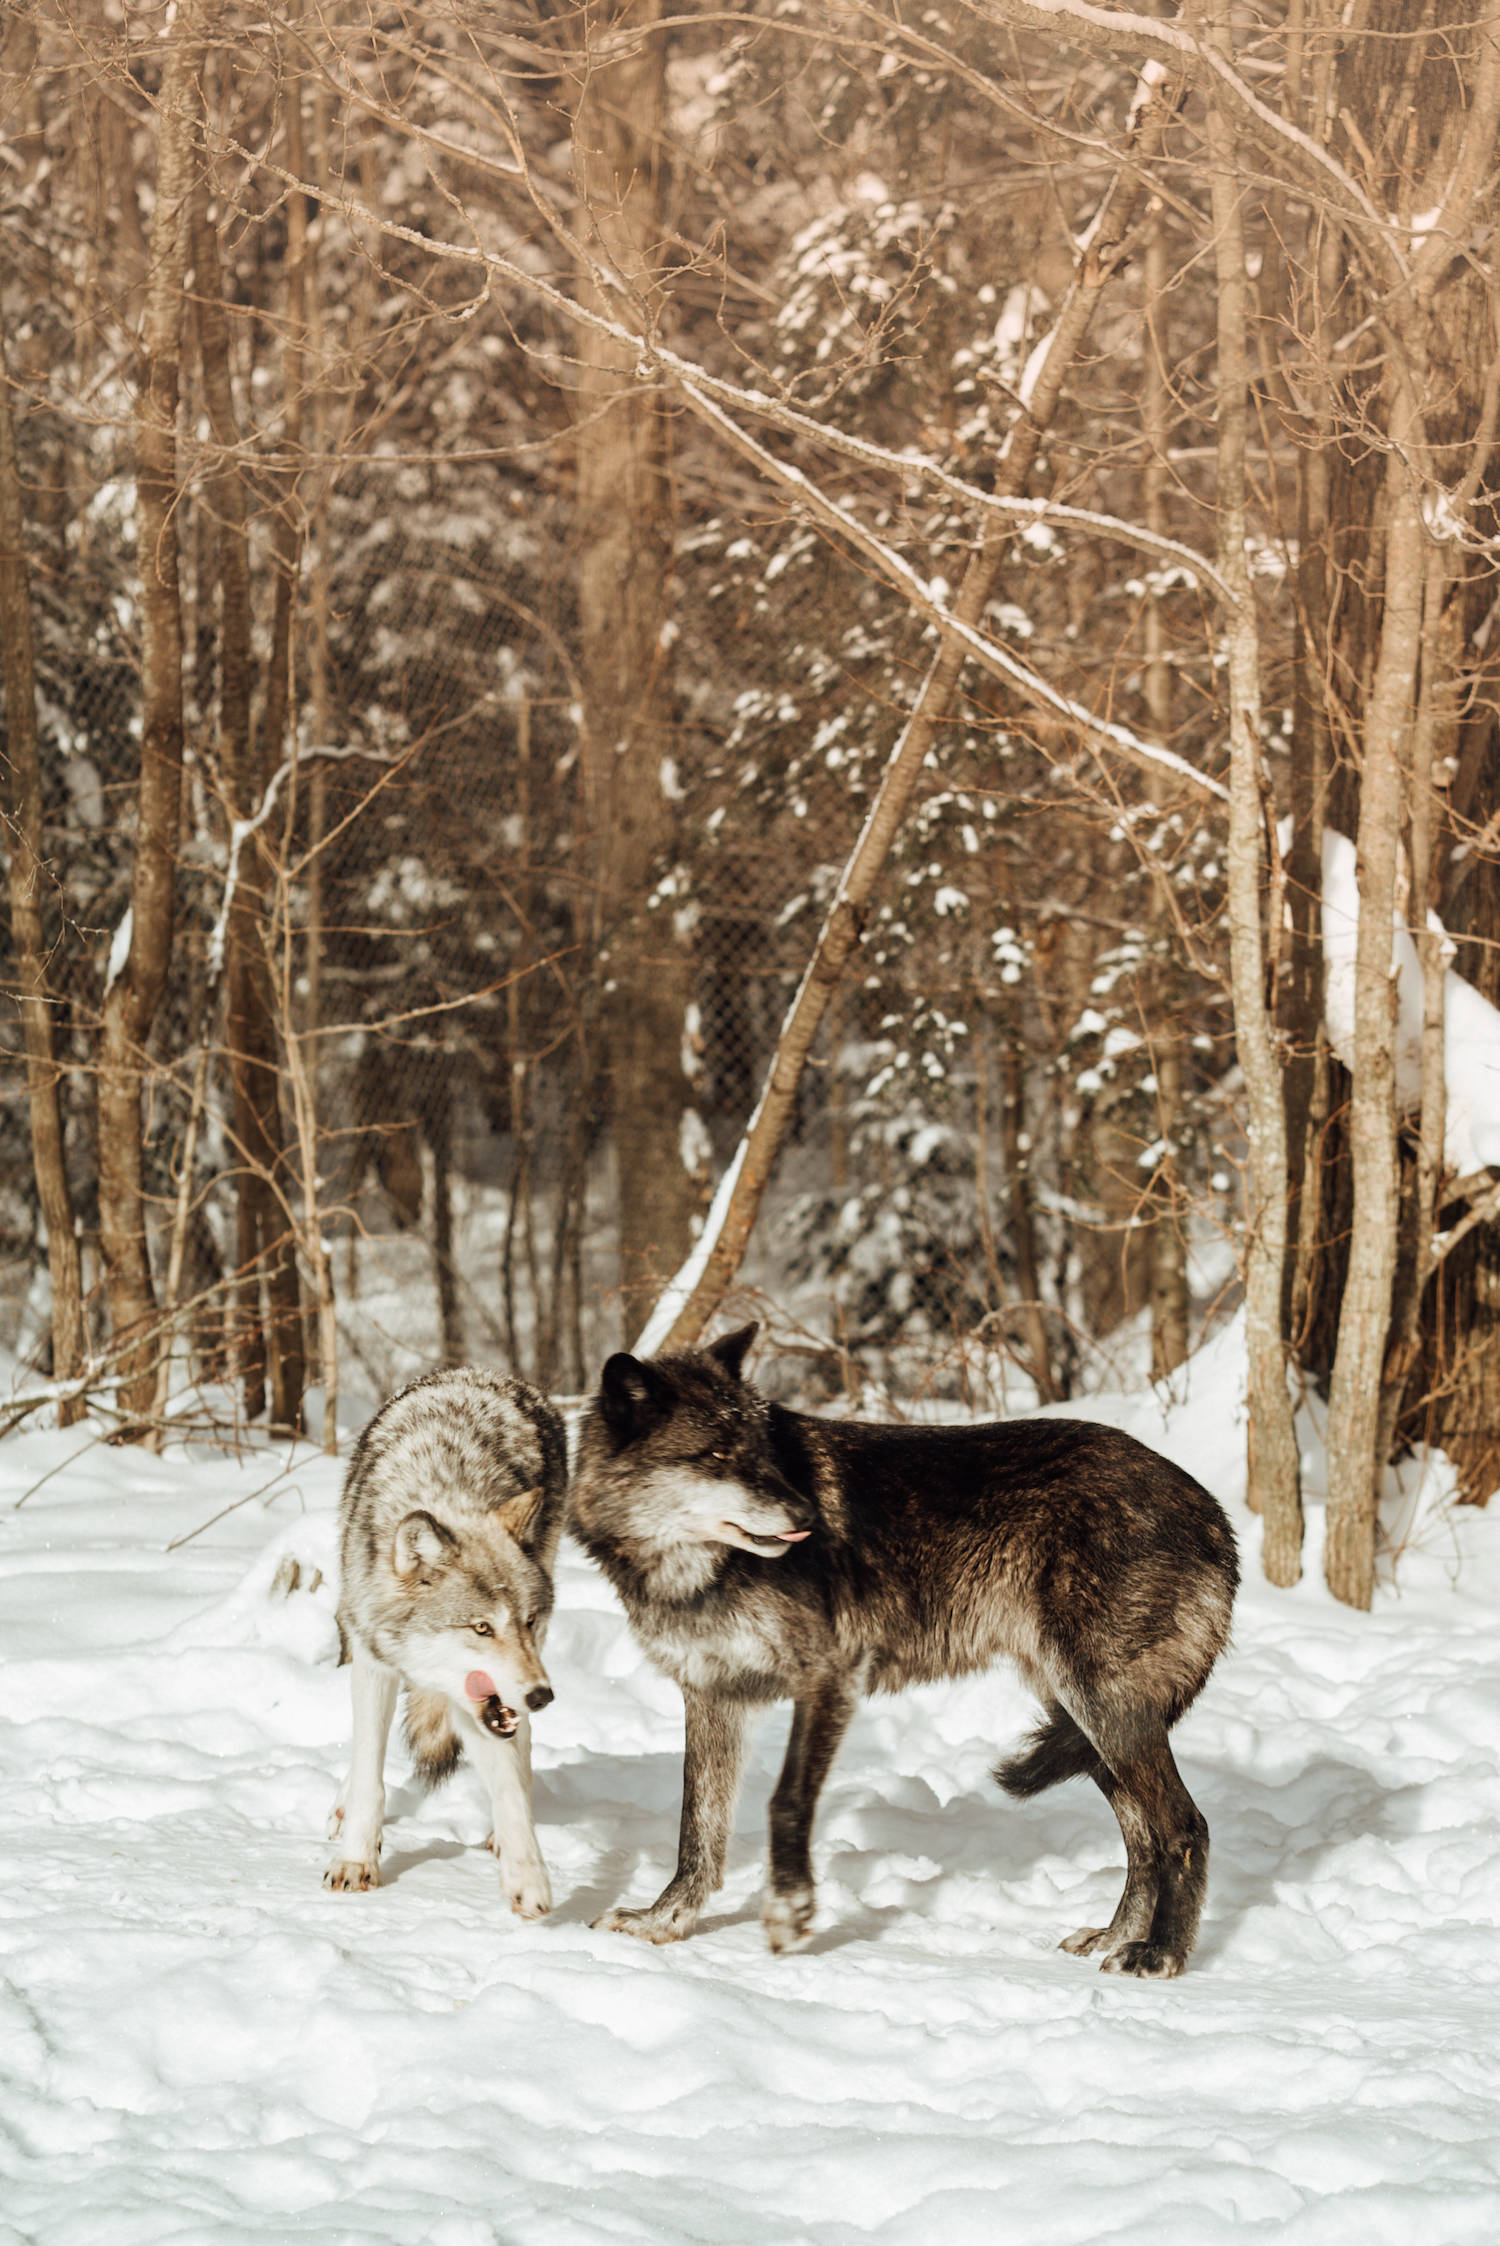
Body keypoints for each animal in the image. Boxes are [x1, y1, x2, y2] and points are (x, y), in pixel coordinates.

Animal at [325, 1356, 565, 1922]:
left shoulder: (489, 1704)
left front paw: (527, 1875)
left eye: (526, 1620)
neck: (446, 1489)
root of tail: (486, 1372)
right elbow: (369, 1774)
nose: (541, 1696)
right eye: (481, 1627)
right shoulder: (372, 1661)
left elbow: (508, 1784)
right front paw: (356, 1859)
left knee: (520, 1751)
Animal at [568, 1320, 1239, 1976]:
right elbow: (697, 1827)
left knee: (1186, 1828)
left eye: (761, 1451)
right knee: (1144, 1838)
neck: (696, 1572)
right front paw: (663, 1922)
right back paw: (1116, 1937)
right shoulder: (713, 1696)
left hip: (1103, 1711)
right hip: (1089, 1724)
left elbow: (785, 1801)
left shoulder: (829, 1677)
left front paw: (789, 1912)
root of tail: (1216, 1516)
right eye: (714, 1456)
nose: (808, 1515)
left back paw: (1160, 1953)